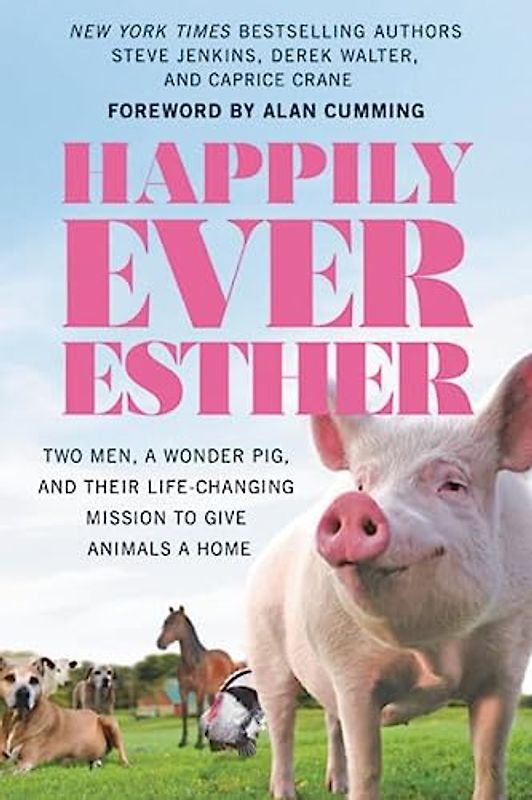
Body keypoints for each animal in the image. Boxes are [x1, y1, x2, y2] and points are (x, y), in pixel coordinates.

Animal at [246, 355, 532, 800]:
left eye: (453, 484)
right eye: (363, 483)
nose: (352, 504)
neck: (432, 648)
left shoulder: (508, 663)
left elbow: (490, 762)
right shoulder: (350, 673)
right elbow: (368, 766)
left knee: (328, 721)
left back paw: (334, 786)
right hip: (264, 652)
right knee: (282, 725)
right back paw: (286, 793)